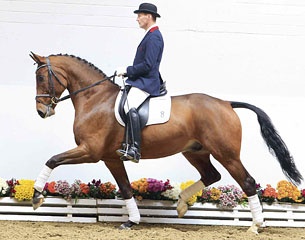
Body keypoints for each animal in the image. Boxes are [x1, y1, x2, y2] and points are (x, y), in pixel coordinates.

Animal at [29, 52, 300, 232]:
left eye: (41, 77)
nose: (41, 112)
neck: (95, 99)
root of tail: (225, 103)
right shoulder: (110, 157)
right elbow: (125, 188)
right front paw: (132, 221)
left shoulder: (90, 151)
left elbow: (52, 160)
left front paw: (36, 196)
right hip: (195, 151)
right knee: (212, 175)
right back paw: (180, 205)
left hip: (227, 154)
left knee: (247, 182)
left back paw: (256, 225)